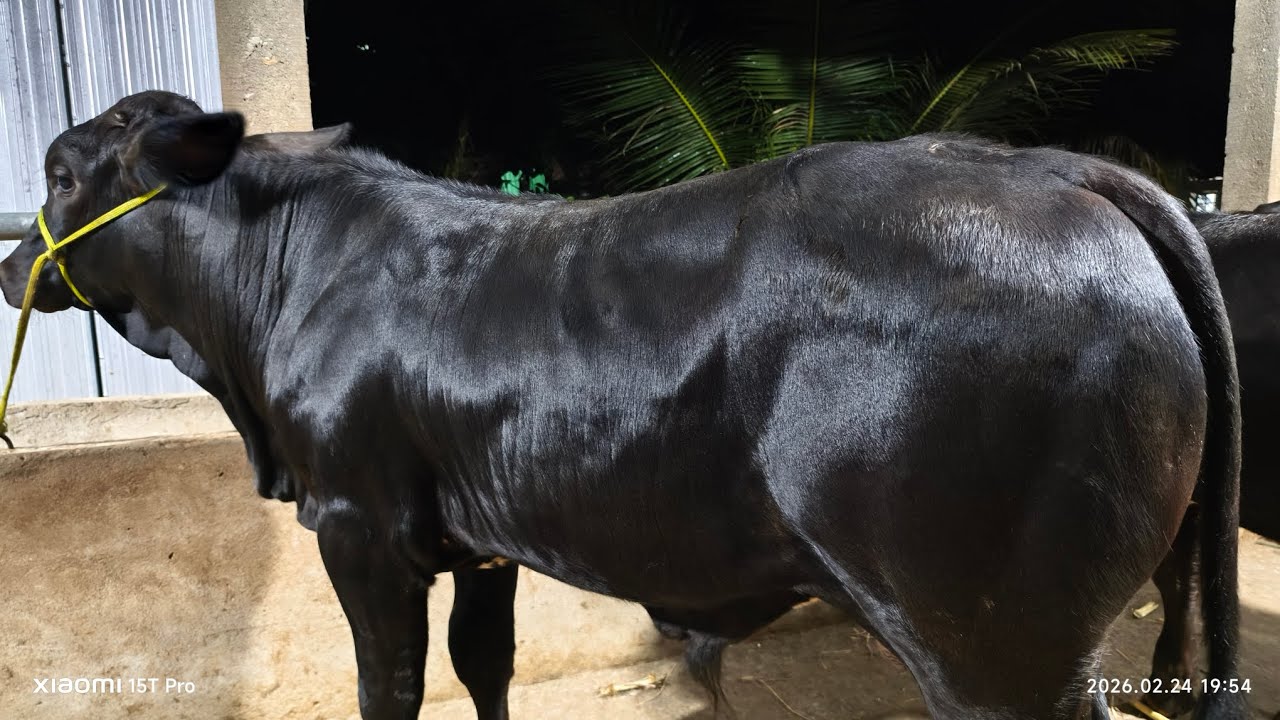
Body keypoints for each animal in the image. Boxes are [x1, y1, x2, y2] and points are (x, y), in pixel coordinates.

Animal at [0, 91, 1247, 720]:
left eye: (60, 173)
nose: (15, 262)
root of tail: (1046, 166)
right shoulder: (475, 536)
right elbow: (481, 667)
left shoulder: (359, 527)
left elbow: (388, 684)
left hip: (995, 638)